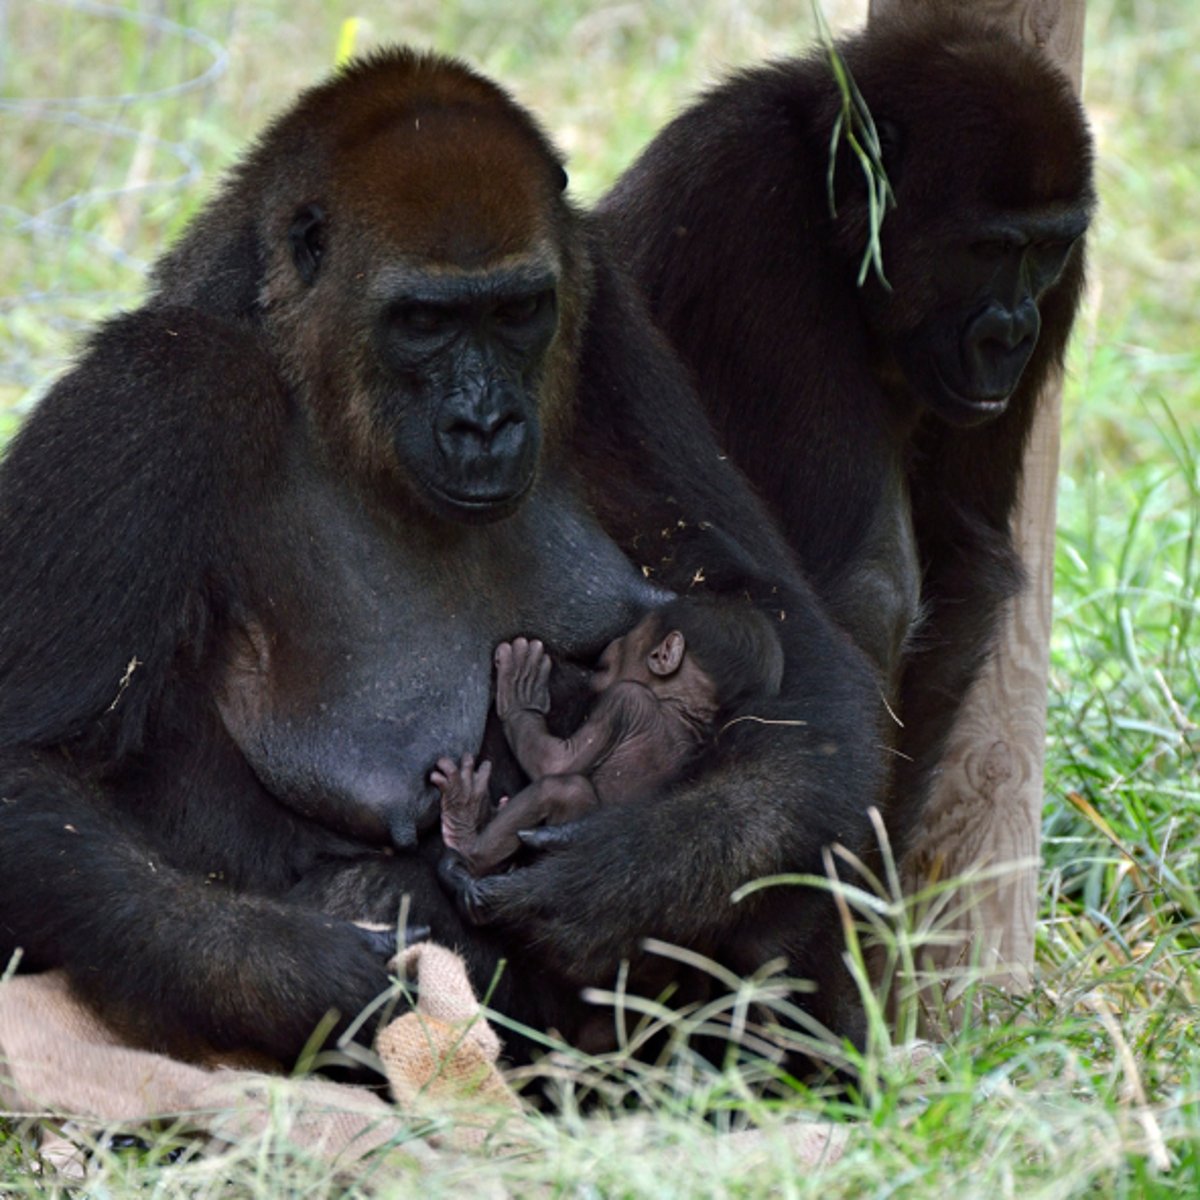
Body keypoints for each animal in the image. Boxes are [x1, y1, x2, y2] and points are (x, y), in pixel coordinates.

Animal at [436, 597, 782, 888]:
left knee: (563, 788)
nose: (613, 641)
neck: (683, 707)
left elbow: (556, 763)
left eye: (632, 637)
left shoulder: (625, 700)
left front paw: (521, 691)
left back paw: (465, 832)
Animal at [600, 4, 1099, 840]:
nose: (1010, 339)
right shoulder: (750, 202)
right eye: (987, 249)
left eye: (1043, 251)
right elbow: (845, 597)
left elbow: (963, 555)